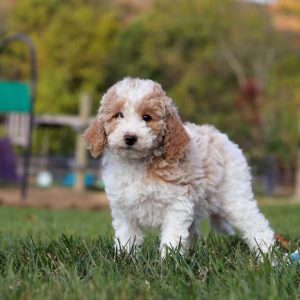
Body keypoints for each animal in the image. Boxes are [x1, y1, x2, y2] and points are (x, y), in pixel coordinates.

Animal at [84, 76, 274, 256]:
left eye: (147, 117)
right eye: (118, 115)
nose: (130, 138)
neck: (137, 164)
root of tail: (223, 138)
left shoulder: (177, 204)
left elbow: (172, 238)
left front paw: (167, 261)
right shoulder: (123, 209)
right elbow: (126, 238)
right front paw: (126, 259)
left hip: (234, 198)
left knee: (259, 227)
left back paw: (270, 259)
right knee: (194, 233)